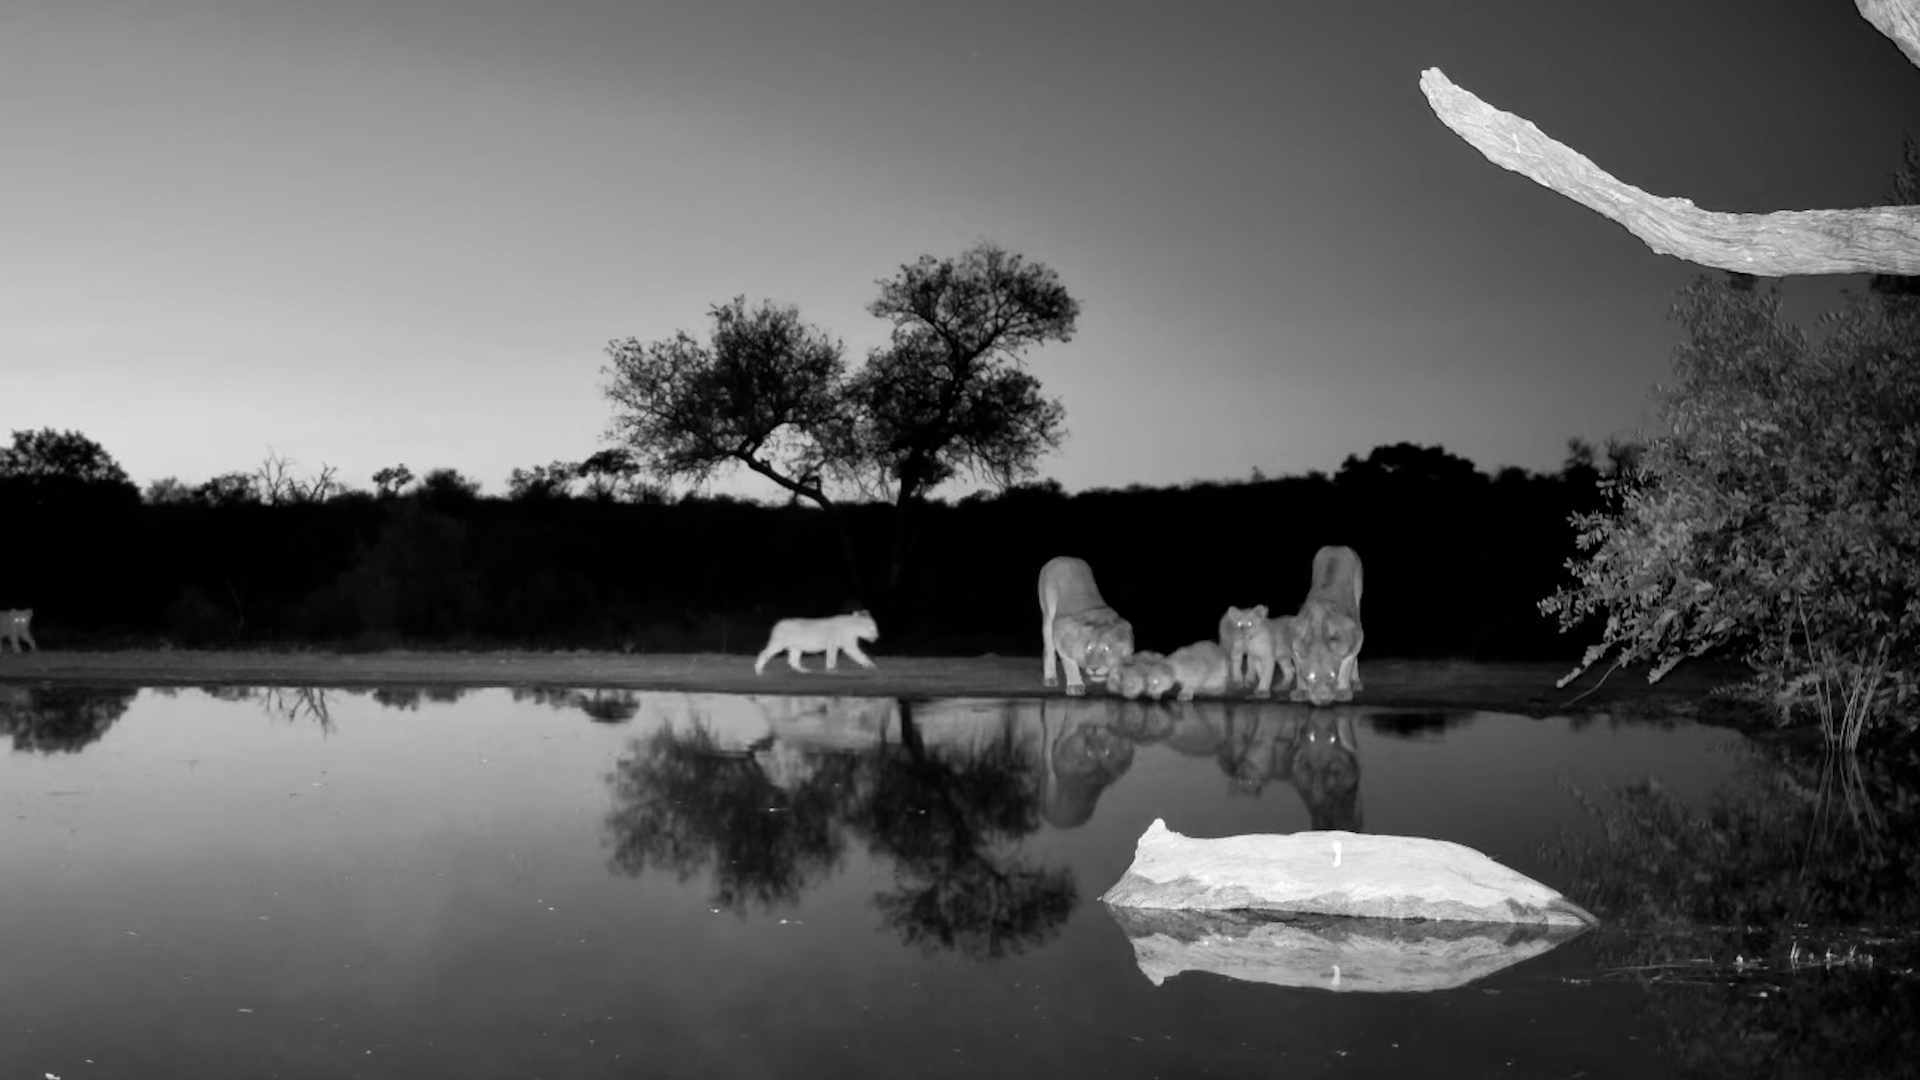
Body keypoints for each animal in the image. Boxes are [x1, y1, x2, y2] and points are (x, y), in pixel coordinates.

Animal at [1039, 556, 1134, 696]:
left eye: (1106, 649)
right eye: (1088, 648)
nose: (1094, 668)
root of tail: (1064, 557)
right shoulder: (1060, 633)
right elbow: (1070, 663)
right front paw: (1075, 685)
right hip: (1048, 613)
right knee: (1049, 649)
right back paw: (1050, 678)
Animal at [1284, 546, 1365, 706]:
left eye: (1332, 676)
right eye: (1312, 677)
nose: (1324, 700)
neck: (1319, 634)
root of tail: (1337, 546)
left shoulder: (1356, 635)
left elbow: (1346, 665)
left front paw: (1343, 690)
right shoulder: (1293, 641)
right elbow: (1299, 669)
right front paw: (1301, 691)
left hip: (1358, 596)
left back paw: (1356, 682)